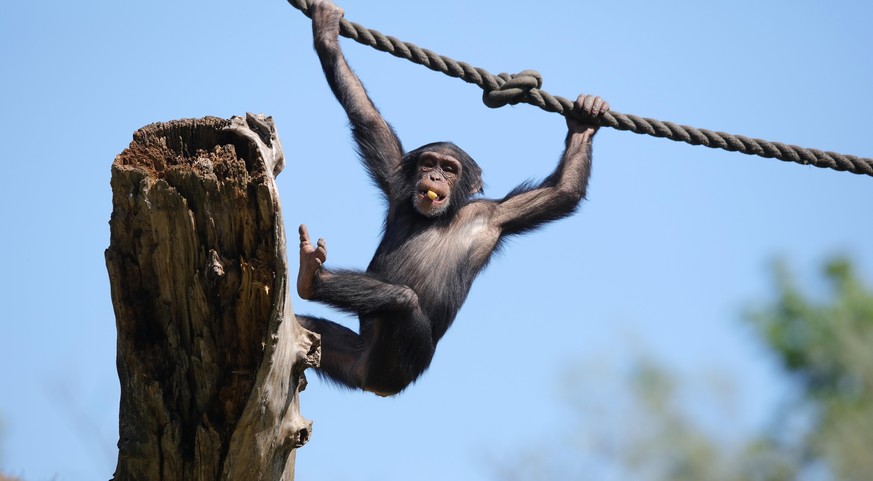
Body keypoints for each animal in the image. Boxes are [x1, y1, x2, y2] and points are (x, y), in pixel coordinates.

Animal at [296, 0, 608, 398]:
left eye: (449, 168)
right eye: (429, 163)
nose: (433, 177)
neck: (440, 216)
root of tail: (375, 384)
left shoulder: (496, 215)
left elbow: (562, 192)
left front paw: (582, 127)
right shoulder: (397, 186)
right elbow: (366, 117)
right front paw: (327, 35)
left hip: (405, 360)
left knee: (404, 301)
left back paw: (312, 279)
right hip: (352, 360)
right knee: (314, 328)